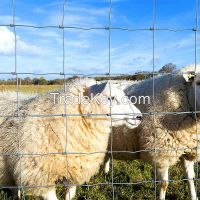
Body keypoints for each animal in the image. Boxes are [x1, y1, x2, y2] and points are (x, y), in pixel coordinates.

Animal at [104, 64, 200, 200]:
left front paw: (193, 196)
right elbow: (164, 184)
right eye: (198, 82)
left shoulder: (188, 151)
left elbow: (190, 178)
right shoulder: (161, 153)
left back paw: (106, 172)